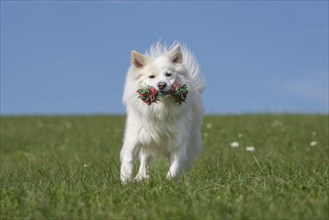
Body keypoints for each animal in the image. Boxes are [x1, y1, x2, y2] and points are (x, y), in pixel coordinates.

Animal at [119, 42, 204, 183]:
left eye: (168, 74)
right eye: (151, 76)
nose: (162, 84)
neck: (160, 109)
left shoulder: (178, 142)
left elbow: (174, 166)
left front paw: (169, 181)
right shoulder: (135, 136)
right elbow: (128, 158)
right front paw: (125, 178)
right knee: (145, 159)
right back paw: (141, 177)